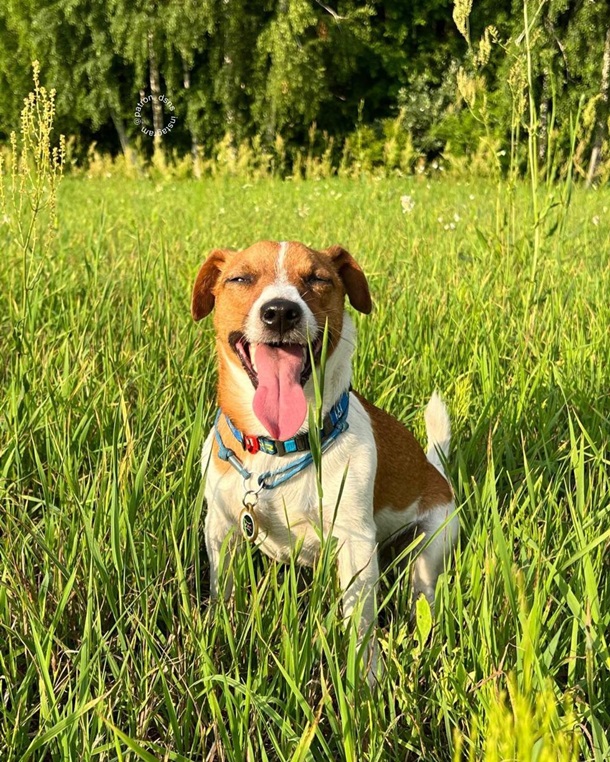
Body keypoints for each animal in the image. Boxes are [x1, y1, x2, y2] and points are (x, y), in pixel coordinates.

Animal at [192, 240, 458, 672]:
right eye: (240, 278)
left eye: (319, 279)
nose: (281, 311)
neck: (281, 448)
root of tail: (437, 475)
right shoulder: (221, 525)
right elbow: (223, 590)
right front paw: (219, 631)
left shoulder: (356, 543)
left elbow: (359, 619)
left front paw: (365, 674)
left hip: (433, 539)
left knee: (422, 589)